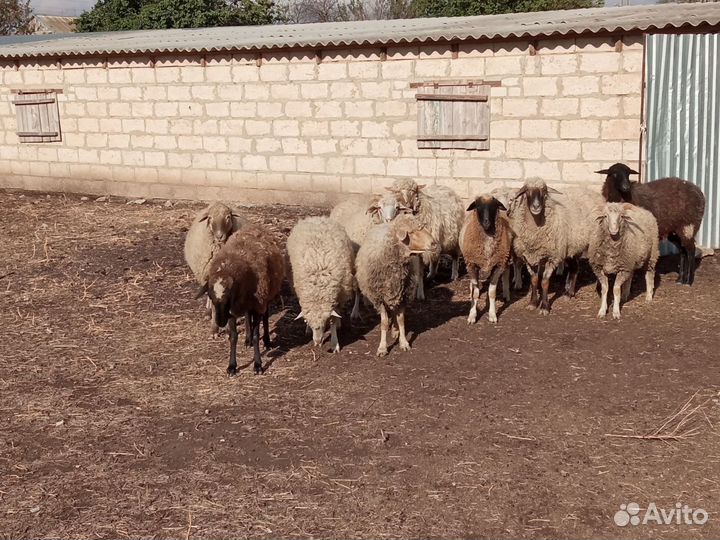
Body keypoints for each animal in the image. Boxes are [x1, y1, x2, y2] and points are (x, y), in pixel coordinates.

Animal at [199, 224, 285, 376]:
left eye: (229, 296)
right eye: (210, 297)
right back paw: (247, 340)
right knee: (247, 315)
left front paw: (258, 365)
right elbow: (233, 337)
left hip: (265, 298)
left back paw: (267, 341)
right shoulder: (232, 312)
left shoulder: (257, 306)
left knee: (265, 316)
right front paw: (232, 366)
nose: (220, 322)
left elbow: (257, 335)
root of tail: (255, 227)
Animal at [286, 216, 355, 353]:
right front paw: (308, 328)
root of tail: (315, 218)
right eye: (308, 321)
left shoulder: (338, 296)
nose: (317, 343)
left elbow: (334, 319)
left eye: (325, 322)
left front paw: (334, 343)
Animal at [355, 214, 438, 357]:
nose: (433, 243)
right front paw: (382, 348)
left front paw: (403, 342)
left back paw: (395, 330)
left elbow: (401, 320)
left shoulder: (403, 294)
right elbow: (383, 323)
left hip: (396, 293)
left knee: (394, 313)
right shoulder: (379, 298)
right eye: (412, 232)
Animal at [460, 195, 513, 324]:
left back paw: (506, 294)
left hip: (506, 257)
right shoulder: (472, 264)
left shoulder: (499, 264)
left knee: (507, 271)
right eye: (478, 206)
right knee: (473, 284)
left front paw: (493, 315)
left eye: (494, 206)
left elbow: (492, 292)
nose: (486, 222)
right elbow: (475, 293)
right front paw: (472, 316)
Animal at [508, 179, 604, 315]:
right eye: (527, 191)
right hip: (571, 246)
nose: (536, 206)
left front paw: (545, 307)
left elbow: (544, 282)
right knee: (575, 268)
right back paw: (569, 293)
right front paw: (532, 303)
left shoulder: (552, 257)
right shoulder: (529, 256)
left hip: (596, 242)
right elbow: (534, 280)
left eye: (544, 191)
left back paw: (598, 288)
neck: (535, 231)